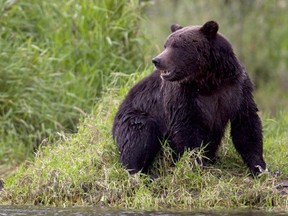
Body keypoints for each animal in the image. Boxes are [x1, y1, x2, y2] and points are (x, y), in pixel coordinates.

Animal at [112, 19, 268, 176]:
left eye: (176, 46)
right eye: (166, 45)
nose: (157, 60)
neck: (208, 81)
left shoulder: (236, 89)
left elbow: (246, 125)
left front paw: (260, 168)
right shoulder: (183, 95)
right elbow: (186, 130)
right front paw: (196, 165)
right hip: (135, 115)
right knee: (139, 135)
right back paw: (143, 173)